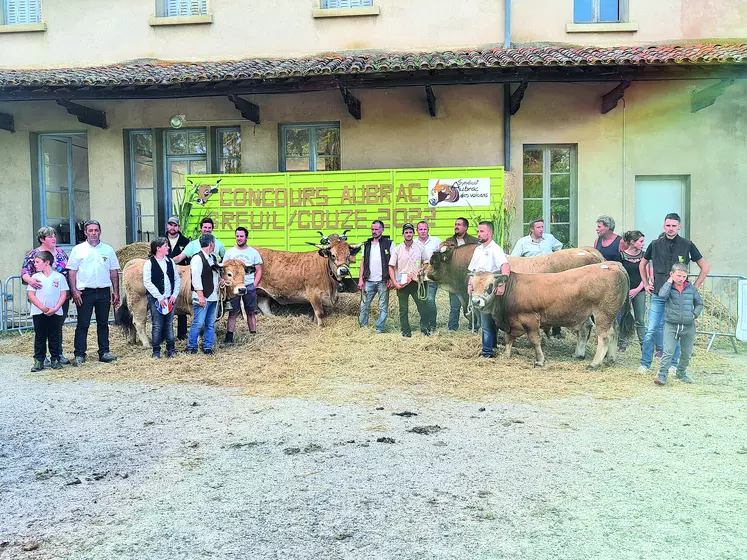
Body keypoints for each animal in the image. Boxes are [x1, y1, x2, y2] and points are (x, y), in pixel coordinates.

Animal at [117, 258, 250, 346]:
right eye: (229, 274)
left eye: (244, 274)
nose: (242, 289)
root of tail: (136, 262)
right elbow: (199, 325)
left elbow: (210, 324)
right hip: (139, 302)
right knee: (139, 322)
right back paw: (146, 344)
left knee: (131, 320)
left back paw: (132, 340)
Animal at [470, 262, 636, 368]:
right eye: (473, 285)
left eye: (490, 286)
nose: (476, 301)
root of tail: (614, 265)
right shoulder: (511, 322)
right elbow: (508, 339)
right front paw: (507, 355)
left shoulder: (529, 319)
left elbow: (534, 340)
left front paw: (540, 361)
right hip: (611, 314)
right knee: (613, 332)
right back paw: (609, 359)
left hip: (603, 314)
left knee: (605, 336)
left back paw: (594, 364)